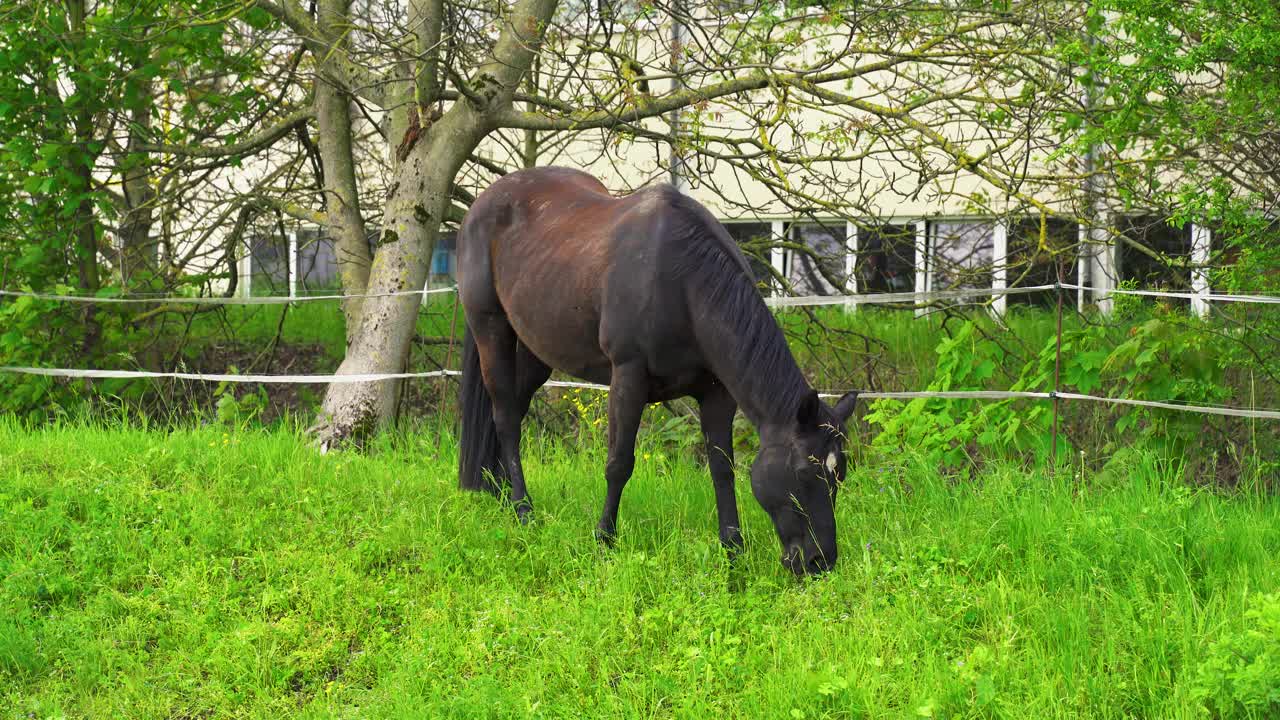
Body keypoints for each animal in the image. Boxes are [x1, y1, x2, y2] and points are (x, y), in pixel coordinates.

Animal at [455, 166, 855, 571]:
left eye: (840, 473)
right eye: (805, 472)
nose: (819, 561)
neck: (682, 282)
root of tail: (482, 203)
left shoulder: (717, 393)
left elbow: (721, 467)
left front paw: (733, 549)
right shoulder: (628, 377)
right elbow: (619, 463)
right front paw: (604, 540)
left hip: (537, 348)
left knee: (514, 409)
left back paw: (501, 492)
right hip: (490, 329)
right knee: (505, 416)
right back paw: (523, 509)